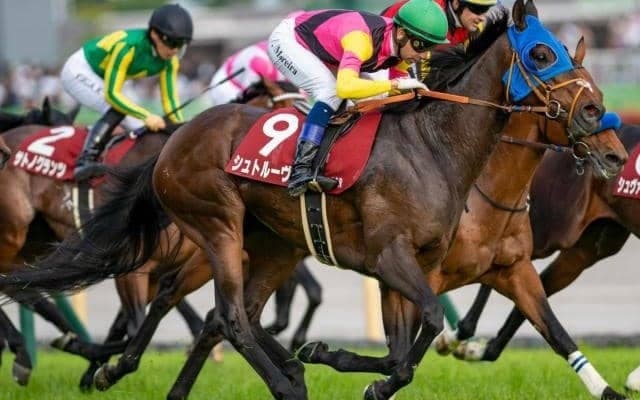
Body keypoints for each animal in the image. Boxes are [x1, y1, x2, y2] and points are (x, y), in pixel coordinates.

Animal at [0, 1, 615, 398]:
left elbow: (407, 349)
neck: (433, 146)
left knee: (231, 314)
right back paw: (282, 384)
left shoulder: (419, 264)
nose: (601, 123)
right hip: (216, 225)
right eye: (542, 53)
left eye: (569, 51)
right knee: (228, 316)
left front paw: (335, 359)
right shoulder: (392, 258)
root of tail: (175, 138)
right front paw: (340, 366)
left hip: (273, 245)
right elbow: (430, 324)